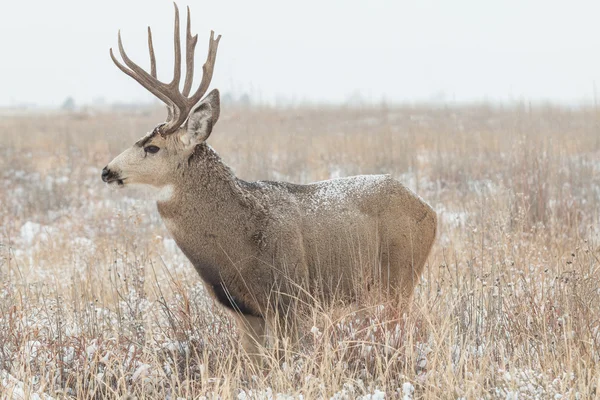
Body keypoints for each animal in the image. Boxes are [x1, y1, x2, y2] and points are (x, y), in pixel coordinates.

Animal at [102, 3, 436, 360]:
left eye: (152, 147)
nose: (107, 171)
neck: (237, 239)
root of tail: (429, 210)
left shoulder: (292, 296)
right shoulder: (245, 311)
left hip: (400, 276)